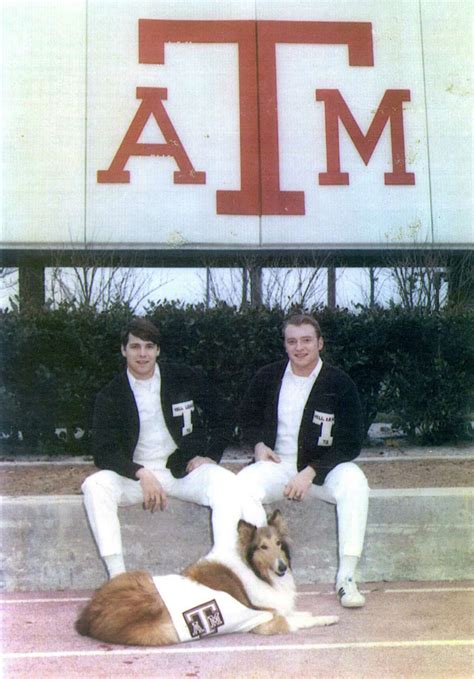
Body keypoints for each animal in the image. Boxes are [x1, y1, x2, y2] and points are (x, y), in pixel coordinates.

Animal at [76, 510, 336, 648]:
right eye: (263, 547)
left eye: (279, 544)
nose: (282, 567)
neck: (256, 572)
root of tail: (88, 616)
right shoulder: (264, 621)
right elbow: (299, 620)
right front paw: (327, 618)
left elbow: (301, 613)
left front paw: (323, 616)